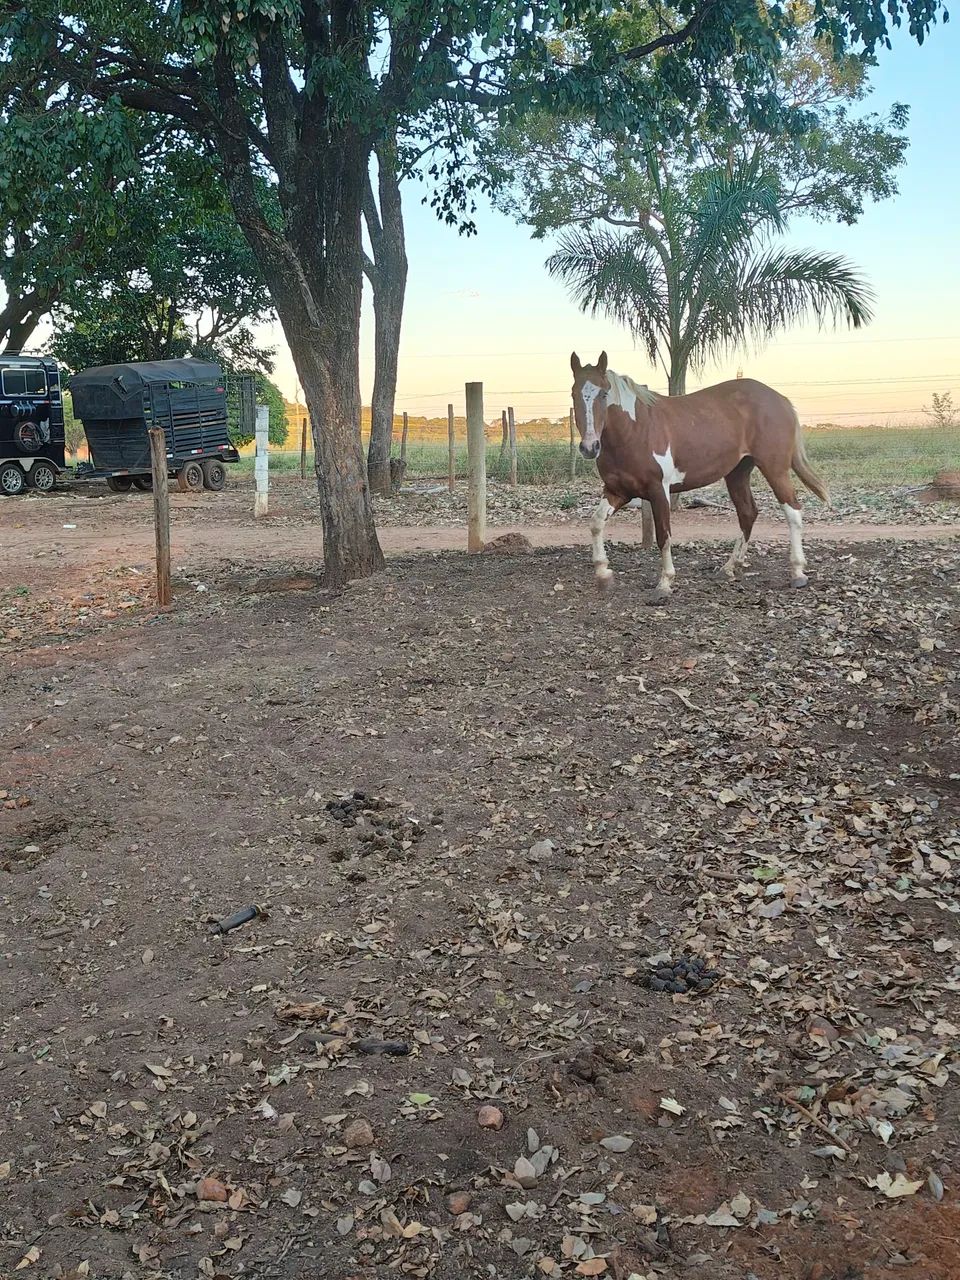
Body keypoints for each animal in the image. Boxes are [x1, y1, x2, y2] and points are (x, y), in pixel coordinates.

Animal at [570, 351, 829, 597]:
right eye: (574, 394)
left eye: (604, 394)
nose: (589, 447)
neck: (634, 430)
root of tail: (781, 400)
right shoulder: (617, 491)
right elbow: (596, 523)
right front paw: (603, 574)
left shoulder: (659, 490)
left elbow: (663, 535)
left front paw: (665, 583)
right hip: (737, 473)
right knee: (748, 513)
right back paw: (729, 568)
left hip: (775, 469)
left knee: (792, 511)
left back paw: (797, 572)